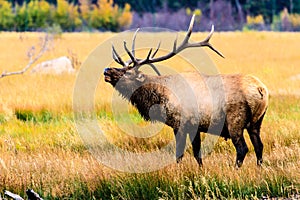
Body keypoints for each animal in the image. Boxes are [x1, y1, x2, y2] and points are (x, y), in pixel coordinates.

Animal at [104, 14, 268, 167]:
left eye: (128, 73)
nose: (107, 70)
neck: (161, 98)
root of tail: (261, 90)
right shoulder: (194, 127)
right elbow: (197, 153)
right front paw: (201, 170)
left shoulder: (180, 123)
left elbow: (179, 153)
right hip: (256, 122)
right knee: (259, 146)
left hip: (235, 121)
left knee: (242, 148)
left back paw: (235, 170)